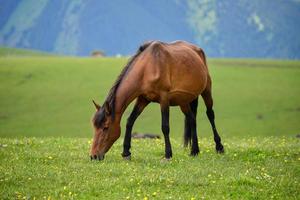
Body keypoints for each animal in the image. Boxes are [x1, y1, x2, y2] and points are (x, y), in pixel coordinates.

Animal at [90, 40, 224, 161]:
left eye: (105, 127)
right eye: (95, 127)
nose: (93, 156)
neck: (147, 67)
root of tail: (197, 50)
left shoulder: (164, 98)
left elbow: (165, 126)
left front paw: (168, 154)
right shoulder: (142, 99)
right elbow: (130, 121)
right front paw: (126, 153)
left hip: (206, 90)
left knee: (210, 114)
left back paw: (219, 147)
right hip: (183, 101)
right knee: (192, 119)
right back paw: (194, 151)